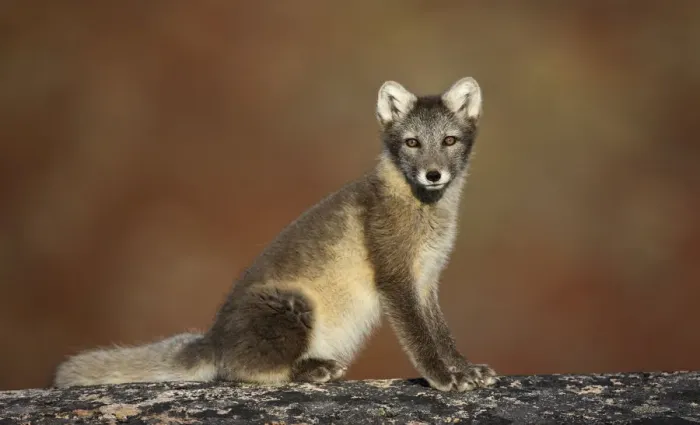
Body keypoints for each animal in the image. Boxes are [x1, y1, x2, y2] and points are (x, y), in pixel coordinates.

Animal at [54, 76, 497, 392]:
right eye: (412, 142)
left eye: (449, 140)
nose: (433, 174)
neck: (424, 213)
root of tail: (214, 340)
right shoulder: (395, 278)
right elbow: (420, 339)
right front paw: (444, 379)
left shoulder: (426, 280)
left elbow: (441, 333)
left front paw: (466, 369)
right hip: (295, 306)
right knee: (240, 372)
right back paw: (314, 369)